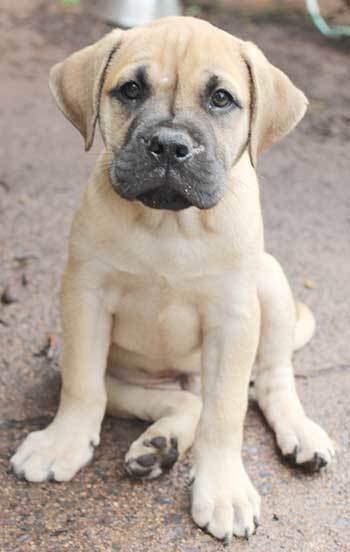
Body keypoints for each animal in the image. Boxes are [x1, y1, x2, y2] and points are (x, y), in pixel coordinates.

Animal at [10, 17, 334, 544]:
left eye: (221, 98)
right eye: (131, 90)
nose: (168, 145)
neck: (169, 225)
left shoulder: (234, 317)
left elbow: (226, 414)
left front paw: (223, 490)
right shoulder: (85, 297)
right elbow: (82, 384)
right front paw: (62, 443)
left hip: (269, 282)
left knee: (268, 381)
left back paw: (299, 433)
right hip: (109, 369)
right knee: (180, 401)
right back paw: (158, 445)